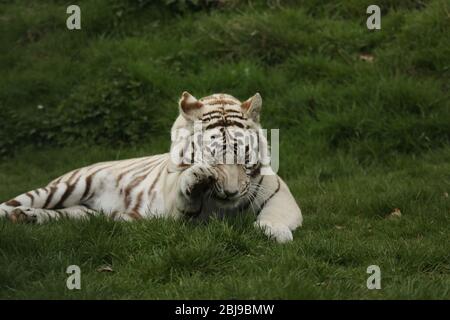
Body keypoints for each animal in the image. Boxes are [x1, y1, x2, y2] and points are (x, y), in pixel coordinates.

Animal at [0, 92, 302, 242]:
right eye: (212, 157)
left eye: (243, 156)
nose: (230, 193)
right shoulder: (179, 215)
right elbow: (187, 196)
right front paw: (196, 178)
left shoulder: (281, 195)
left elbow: (275, 216)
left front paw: (274, 232)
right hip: (67, 186)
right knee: (12, 203)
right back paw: (17, 213)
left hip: (83, 214)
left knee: (63, 217)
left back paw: (28, 217)